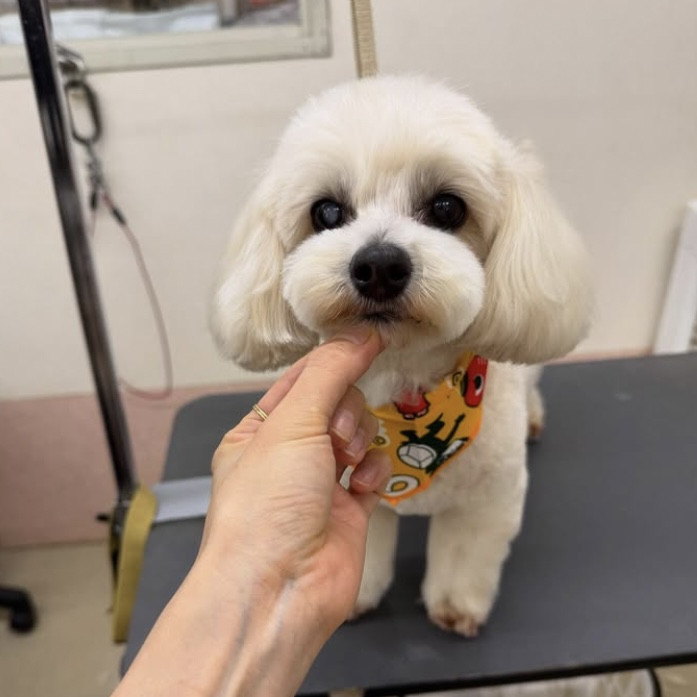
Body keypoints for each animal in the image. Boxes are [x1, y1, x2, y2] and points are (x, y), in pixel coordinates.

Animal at [210, 75, 592, 637]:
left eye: (447, 208)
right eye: (327, 212)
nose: (378, 265)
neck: (406, 384)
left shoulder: (486, 501)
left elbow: (464, 558)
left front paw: (456, 609)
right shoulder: (362, 491)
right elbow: (367, 554)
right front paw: (358, 600)